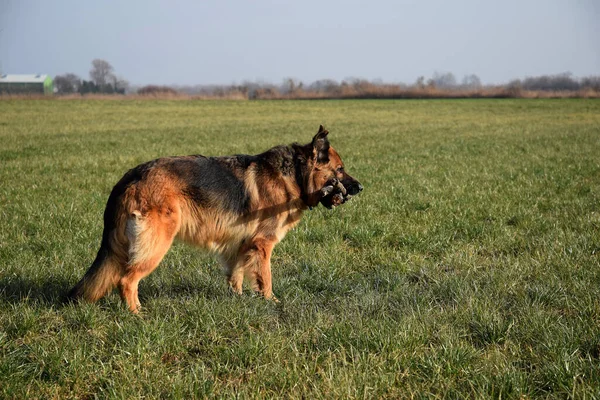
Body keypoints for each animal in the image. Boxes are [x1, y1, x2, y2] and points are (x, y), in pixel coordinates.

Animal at [68, 125, 364, 312]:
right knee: (126, 280)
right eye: (340, 169)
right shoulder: (263, 245)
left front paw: (239, 300)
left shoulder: (241, 244)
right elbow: (265, 278)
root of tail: (131, 175)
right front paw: (271, 302)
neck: (294, 175)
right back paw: (136, 313)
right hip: (156, 244)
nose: (360, 188)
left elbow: (237, 275)